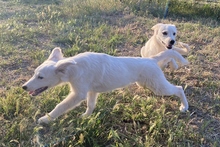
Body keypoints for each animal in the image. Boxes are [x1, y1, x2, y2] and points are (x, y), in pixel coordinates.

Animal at [22, 47, 188, 123]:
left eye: (40, 77)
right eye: (34, 74)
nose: (24, 87)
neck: (75, 68)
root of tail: (152, 60)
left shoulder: (78, 94)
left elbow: (60, 107)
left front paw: (46, 119)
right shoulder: (91, 92)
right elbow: (90, 105)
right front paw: (86, 117)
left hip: (159, 87)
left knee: (179, 89)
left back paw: (184, 107)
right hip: (147, 84)